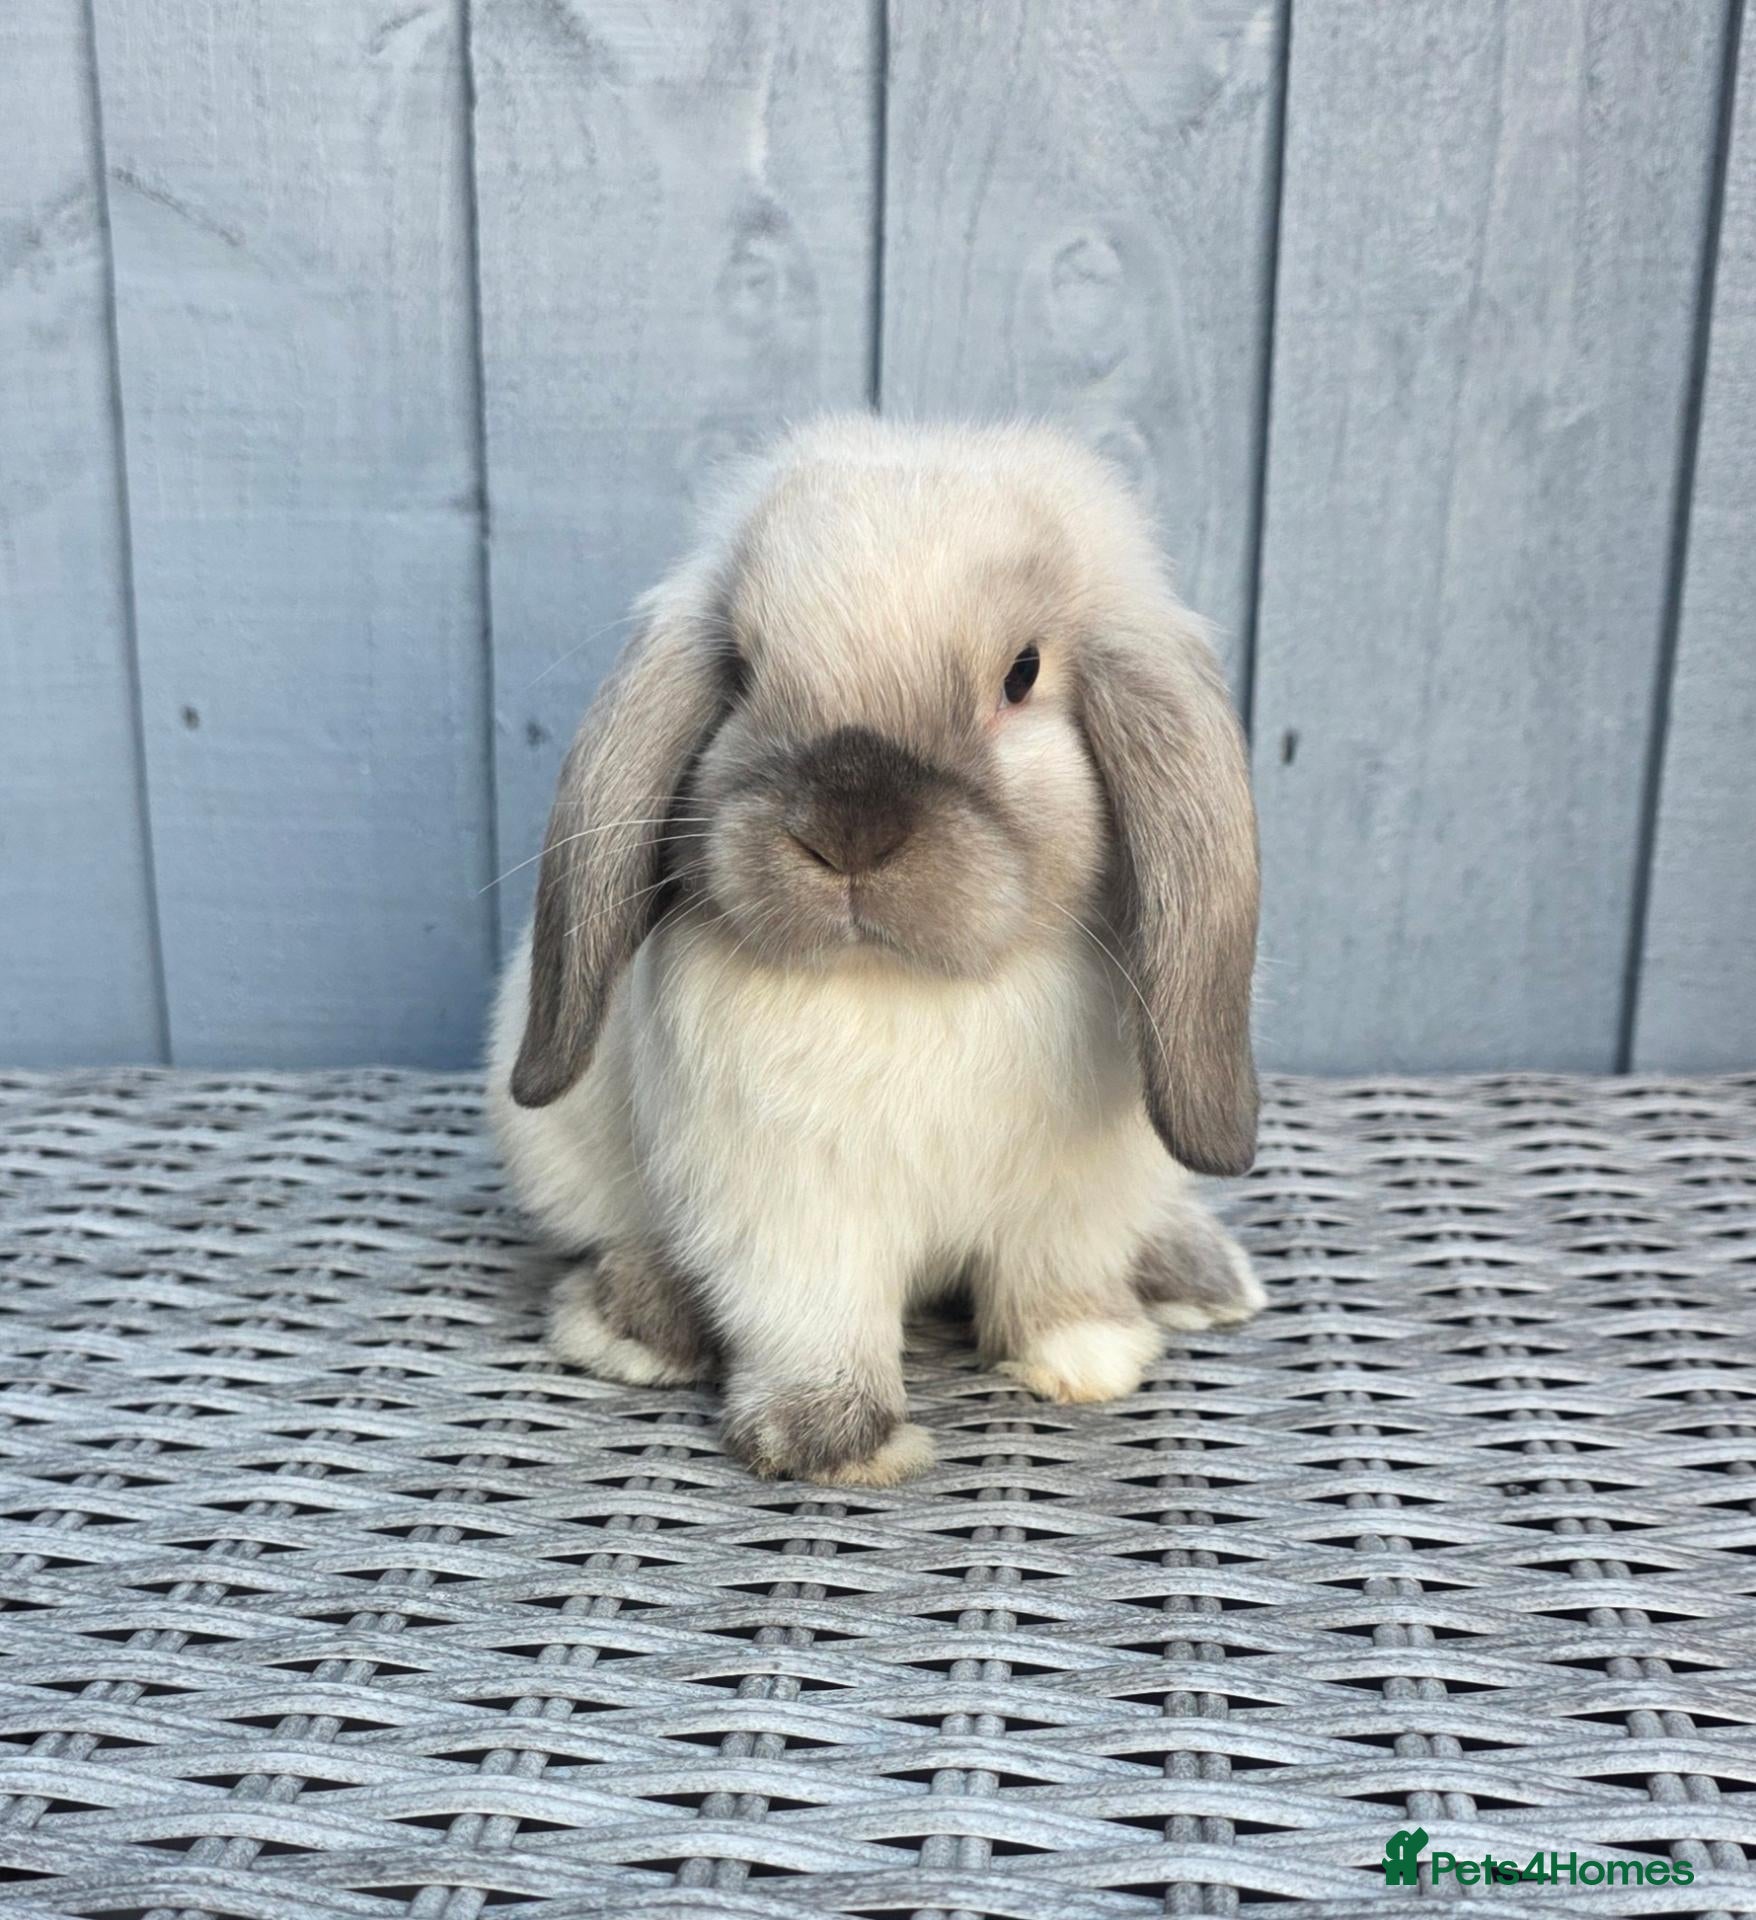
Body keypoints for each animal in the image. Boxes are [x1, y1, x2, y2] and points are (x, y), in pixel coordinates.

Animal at [488, 415, 1263, 1487]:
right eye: (740, 674)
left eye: (1022, 674)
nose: (848, 829)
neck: (913, 987)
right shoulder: (794, 1211)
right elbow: (815, 1319)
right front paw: (833, 1446)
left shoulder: (1066, 1204)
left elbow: (1054, 1284)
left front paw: (1087, 1358)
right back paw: (636, 1326)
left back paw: (1194, 1276)